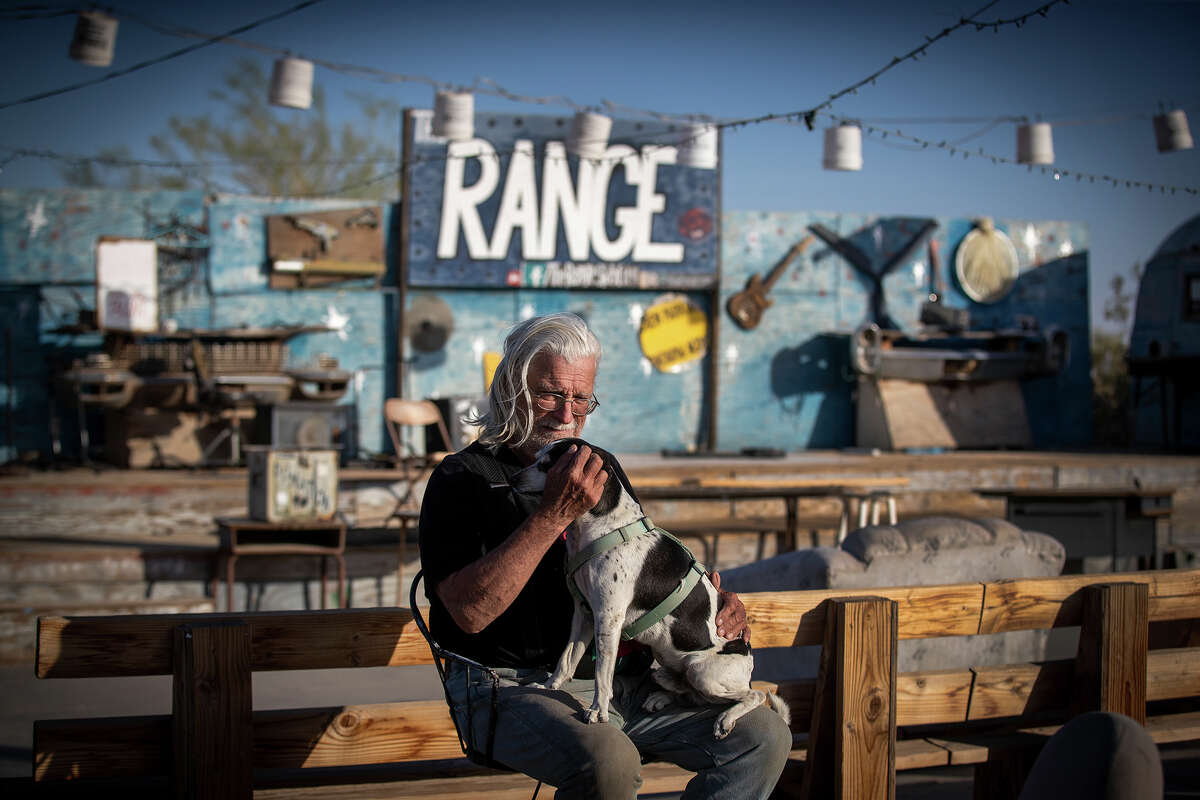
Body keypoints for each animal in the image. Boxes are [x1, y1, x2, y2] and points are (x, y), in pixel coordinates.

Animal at [513, 438, 787, 738]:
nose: (513, 478)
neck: (599, 526)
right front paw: (549, 687)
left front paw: (598, 711)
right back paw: (661, 695)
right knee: (690, 692)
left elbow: (602, 675)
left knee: (751, 695)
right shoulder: (583, 613)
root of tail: (747, 668)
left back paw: (726, 717)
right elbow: (566, 659)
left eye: (548, 464)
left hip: (701, 670)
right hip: (667, 656)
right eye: (535, 457)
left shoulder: (607, 618)